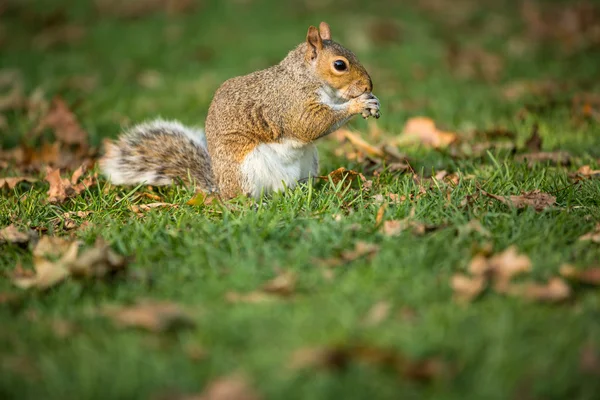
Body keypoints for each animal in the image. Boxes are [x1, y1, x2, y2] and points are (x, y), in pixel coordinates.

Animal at [99, 21, 380, 198]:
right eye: (340, 65)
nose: (369, 85)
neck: (305, 77)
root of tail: (220, 188)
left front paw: (371, 101)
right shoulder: (290, 104)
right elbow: (311, 124)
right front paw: (359, 104)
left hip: (308, 163)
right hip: (245, 170)